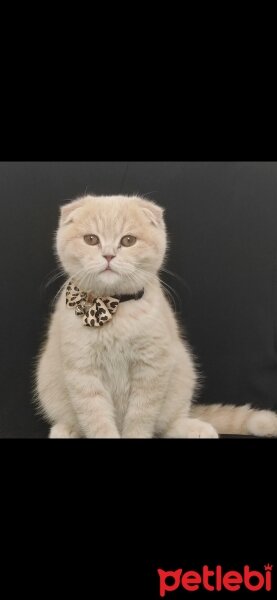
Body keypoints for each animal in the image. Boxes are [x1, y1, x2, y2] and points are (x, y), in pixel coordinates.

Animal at [34, 196, 276, 436]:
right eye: (91, 239)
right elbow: (97, 419)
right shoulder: (83, 372)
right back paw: (65, 431)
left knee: (170, 424)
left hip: (182, 376)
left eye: (128, 240)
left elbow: (141, 417)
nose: (109, 255)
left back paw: (196, 428)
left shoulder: (152, 367)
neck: (114, 306)